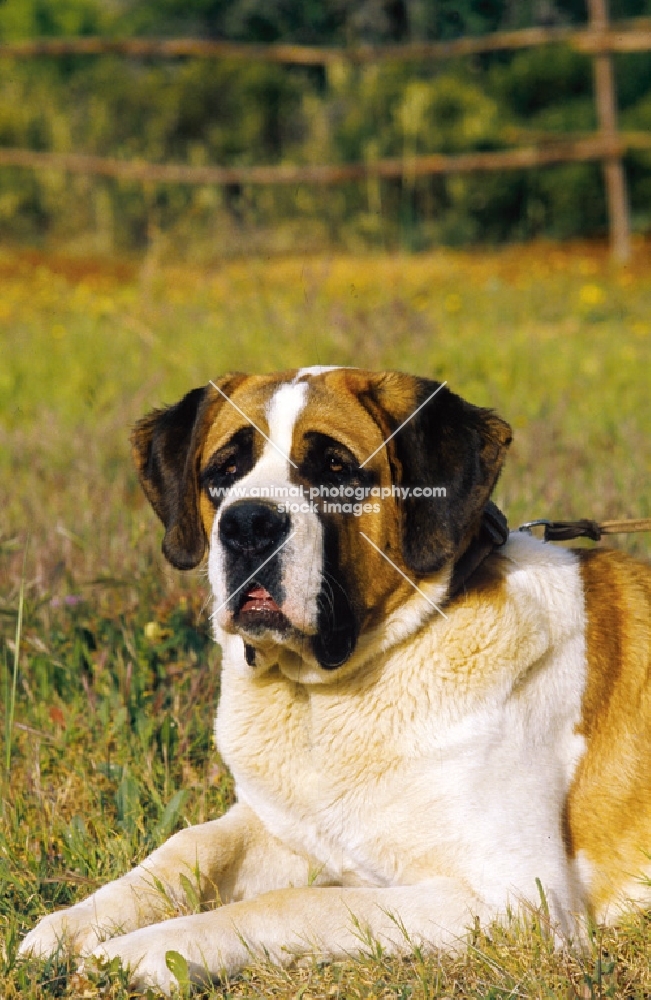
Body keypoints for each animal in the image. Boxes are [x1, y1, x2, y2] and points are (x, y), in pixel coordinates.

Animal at [20, 368, 651, 992]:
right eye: (225, 471)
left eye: (335, 469)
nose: (249, 523)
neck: (325, 694)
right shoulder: (281, 825)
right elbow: (191, 846)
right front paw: (72, 925)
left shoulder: (517, 901)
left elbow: (295, 903)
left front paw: (142, 952)